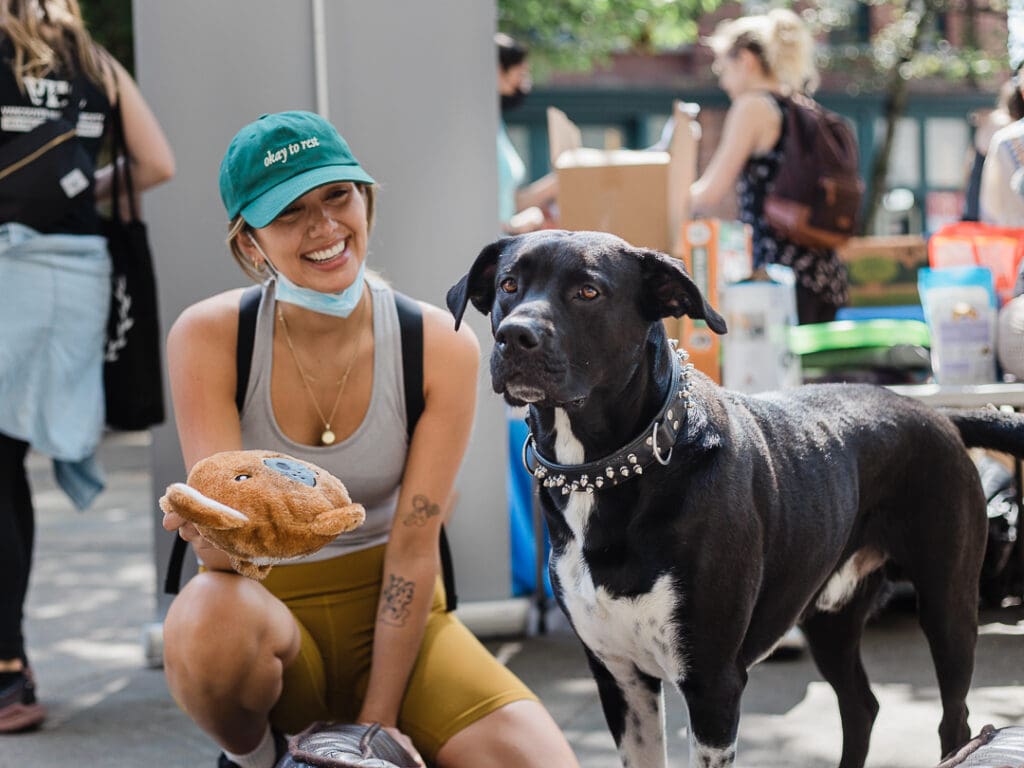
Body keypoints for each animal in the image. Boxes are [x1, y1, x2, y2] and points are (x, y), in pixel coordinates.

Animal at [446, 231, 1024, 768]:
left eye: (588, 291)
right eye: (509, 285)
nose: (514, 336)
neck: (615, 469)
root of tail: (938, 415)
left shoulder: (712, 684)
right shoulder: (620, 679)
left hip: (948, 606)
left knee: (955, 722)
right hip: (830, 617)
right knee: (862, 706)